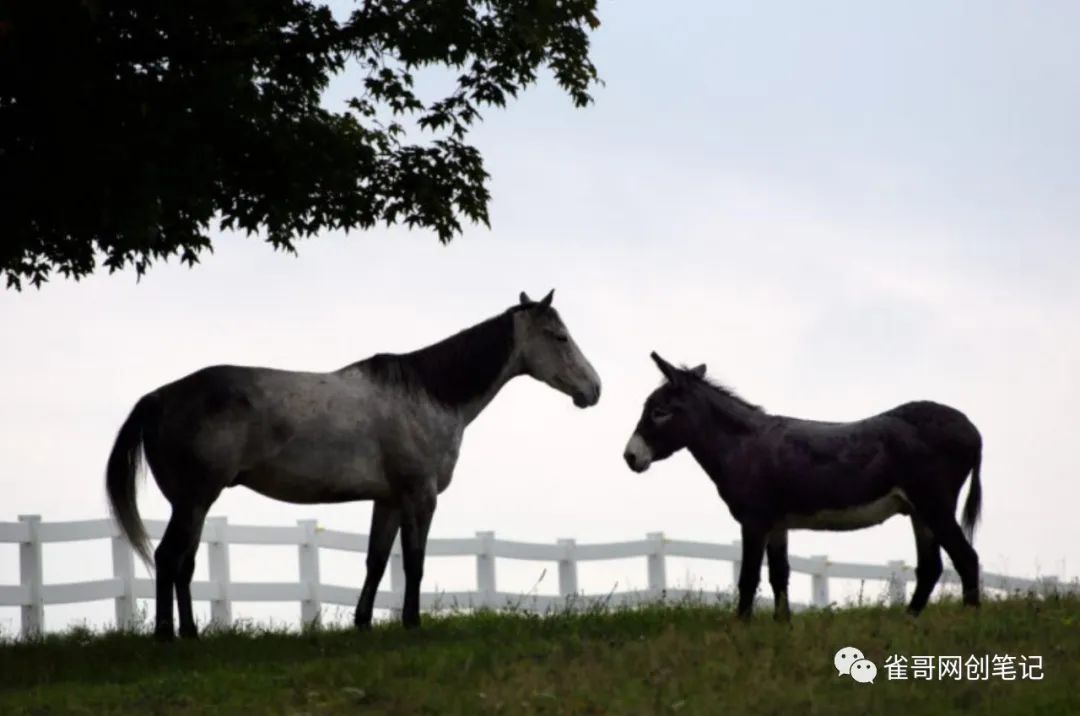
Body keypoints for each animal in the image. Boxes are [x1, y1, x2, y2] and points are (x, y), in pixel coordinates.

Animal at [105, 289, 604, 639]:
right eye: (559, 337)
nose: (594, 389)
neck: (428, 393)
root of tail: (159, 397)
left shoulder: (388, 500)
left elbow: (377, 562)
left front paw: (363, 623)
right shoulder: (419, 497)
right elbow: (414, 562)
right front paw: (412, 623)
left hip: (193, 505)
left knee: (183, 564)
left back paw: (188, 633)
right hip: (194, 501)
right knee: (170, 559)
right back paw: (170, 636)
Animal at [622, 352, 984, 622]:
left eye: (659, 412)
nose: (629, 456)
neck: (742, 445)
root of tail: (972, 428)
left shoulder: (754, 520)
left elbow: (749, 577)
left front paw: (740, 629)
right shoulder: (777, 523)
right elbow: (779, 574)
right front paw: (782, 627)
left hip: (934, 504)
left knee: (966, 558)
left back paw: (969, 620)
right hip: (918, 511)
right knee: (931, 567)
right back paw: (908, 621)